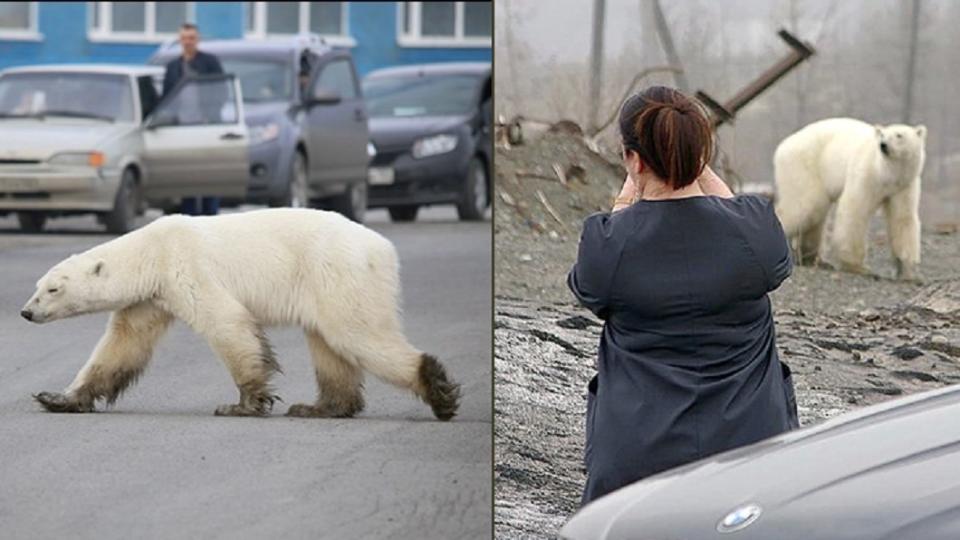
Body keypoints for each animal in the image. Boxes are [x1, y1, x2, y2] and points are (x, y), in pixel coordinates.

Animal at [19, 209, 462, 420]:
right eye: (38, 285)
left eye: (53, 289)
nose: (25, 312)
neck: (152, 251)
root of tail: (383, 248)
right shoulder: (151, 298)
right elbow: (122, 345)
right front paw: (57, 398)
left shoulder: (186, 267)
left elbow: (226, 323)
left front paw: (243, 404)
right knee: (328, 344)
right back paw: (319, 407)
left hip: (337, 272)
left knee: (356, 333)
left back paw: (439, 390)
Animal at [772, 117, 924, 278]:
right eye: (882, 135)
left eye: (899, 135)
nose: (883, 145)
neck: (886, 173)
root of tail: (782, 146)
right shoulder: (866, 174)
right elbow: (855, 209)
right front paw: (858, 267)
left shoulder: (904, 186)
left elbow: (902, 218)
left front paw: (909, 272)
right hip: (804, 167)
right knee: (806, 205)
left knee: (816, 214)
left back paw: (815, 260)